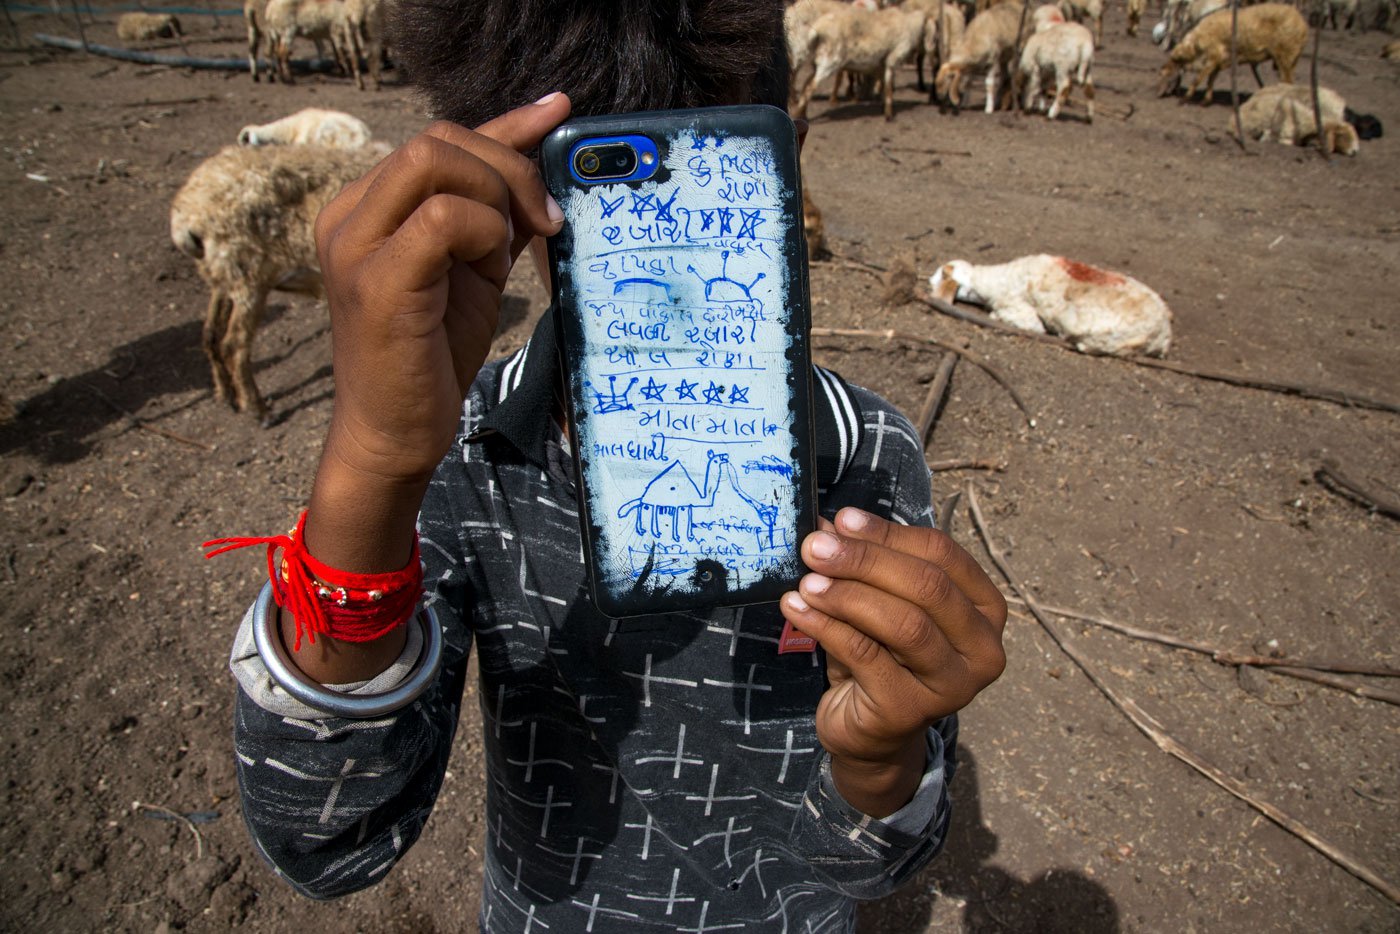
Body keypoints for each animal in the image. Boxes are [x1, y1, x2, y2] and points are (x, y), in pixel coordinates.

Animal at [171, 144, 386, 422]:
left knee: (210, 334)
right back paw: (259, 410)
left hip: (223, 276)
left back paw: (226, 395)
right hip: (247, 278)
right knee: (234, 345)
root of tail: (187, 220)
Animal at [800, 4, 929, 120]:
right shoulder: (892, 58)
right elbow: (888, 85)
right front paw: (889, 114)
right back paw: (798, 113)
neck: (910, 24)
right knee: (810, 87)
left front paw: (883, 104)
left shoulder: (882, 64)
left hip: (819, 60)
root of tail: (817, 29)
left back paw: (802, 114)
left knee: (806, 83)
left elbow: (884, 85)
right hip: (830, 60)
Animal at [1153, 2, 1304, 103]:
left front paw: (1185, 99)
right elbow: (1210, 79)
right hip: (1289, 60)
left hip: (1286, 56)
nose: (1156, 94)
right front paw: (1206, 101)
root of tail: (1303, 25)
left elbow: (1198, 79)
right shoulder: (1217, 60)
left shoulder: (1213, 57)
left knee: (1288, 82)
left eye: (1163, 74)